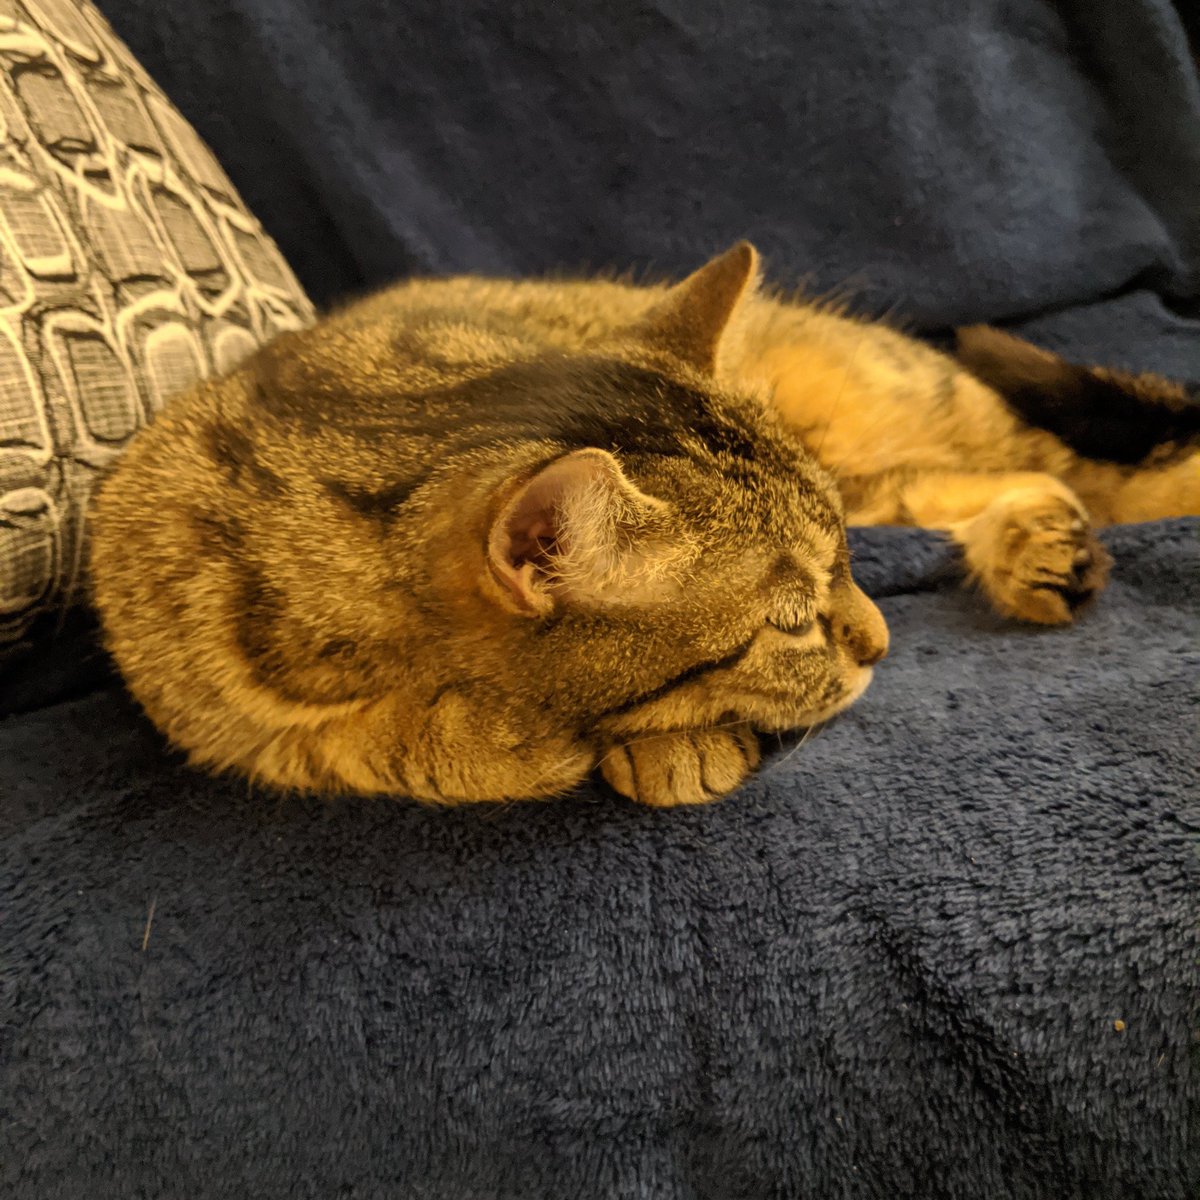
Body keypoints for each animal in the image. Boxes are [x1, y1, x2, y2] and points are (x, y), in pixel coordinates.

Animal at [93, 243, 1200, 806]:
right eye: (792, 620)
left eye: (845, 566)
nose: (884, 643)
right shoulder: (219, 709)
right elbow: (400, 747)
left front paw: (665, 747)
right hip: (889, 469)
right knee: (993, 479)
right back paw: (1036, 546)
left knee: (1081, 465)